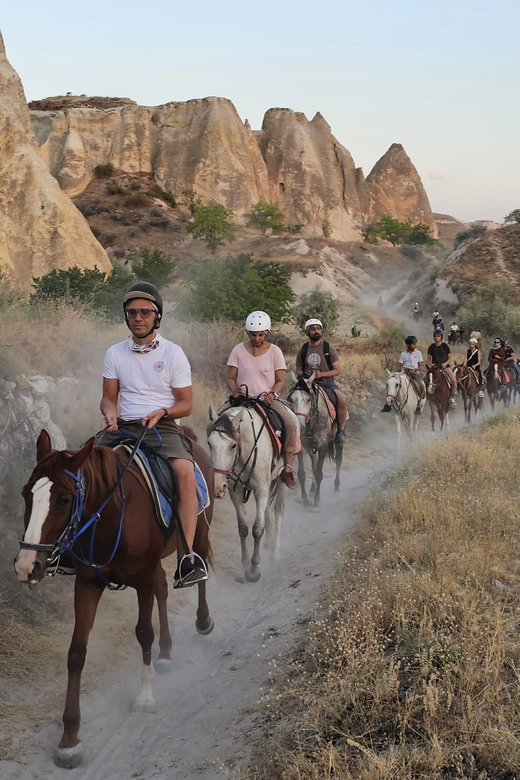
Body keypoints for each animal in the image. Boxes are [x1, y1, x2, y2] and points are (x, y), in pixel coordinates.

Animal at [14, 432, 213, 768]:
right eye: (27, 493)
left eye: (64, 499)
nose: (27, 565)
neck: (109, 517)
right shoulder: (87, 584)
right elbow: (76, 652)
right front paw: (69, 739)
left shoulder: (142, 579)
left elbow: (144, 633)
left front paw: (145, 697)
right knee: (163, 589)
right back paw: (166, 653)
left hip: (196, 533)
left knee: (198, 571)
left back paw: (203, 619)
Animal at [208, 406, 288, 580]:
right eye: (209, 443)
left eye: (233, 446)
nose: (217, 486)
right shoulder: (235, 493)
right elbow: (243, 528)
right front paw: (245, 562)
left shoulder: (261, 489)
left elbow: (257, 529)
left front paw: (254, 569)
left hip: (282, 480)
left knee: (278, 511)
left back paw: (276, 553)